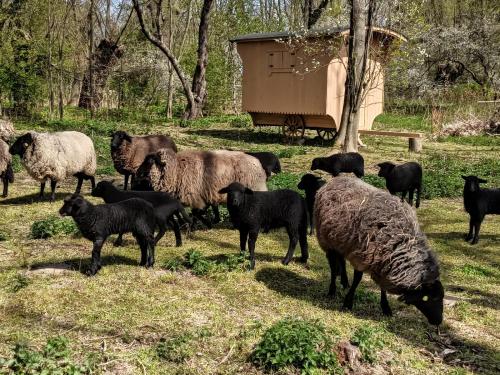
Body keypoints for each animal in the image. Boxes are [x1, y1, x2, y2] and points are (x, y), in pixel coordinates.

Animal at [316, 176, 446, 326]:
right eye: (429, 298)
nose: (438, 321)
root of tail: (336, 179)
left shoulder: (382, 261)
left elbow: (382, 286)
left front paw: (385, 307)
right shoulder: (362, 256)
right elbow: (357, 279)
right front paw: (348, 302)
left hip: (341, 243)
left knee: (341, 261)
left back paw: (344, 282)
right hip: (327, 242)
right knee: (332, 267)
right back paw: (332, 290)